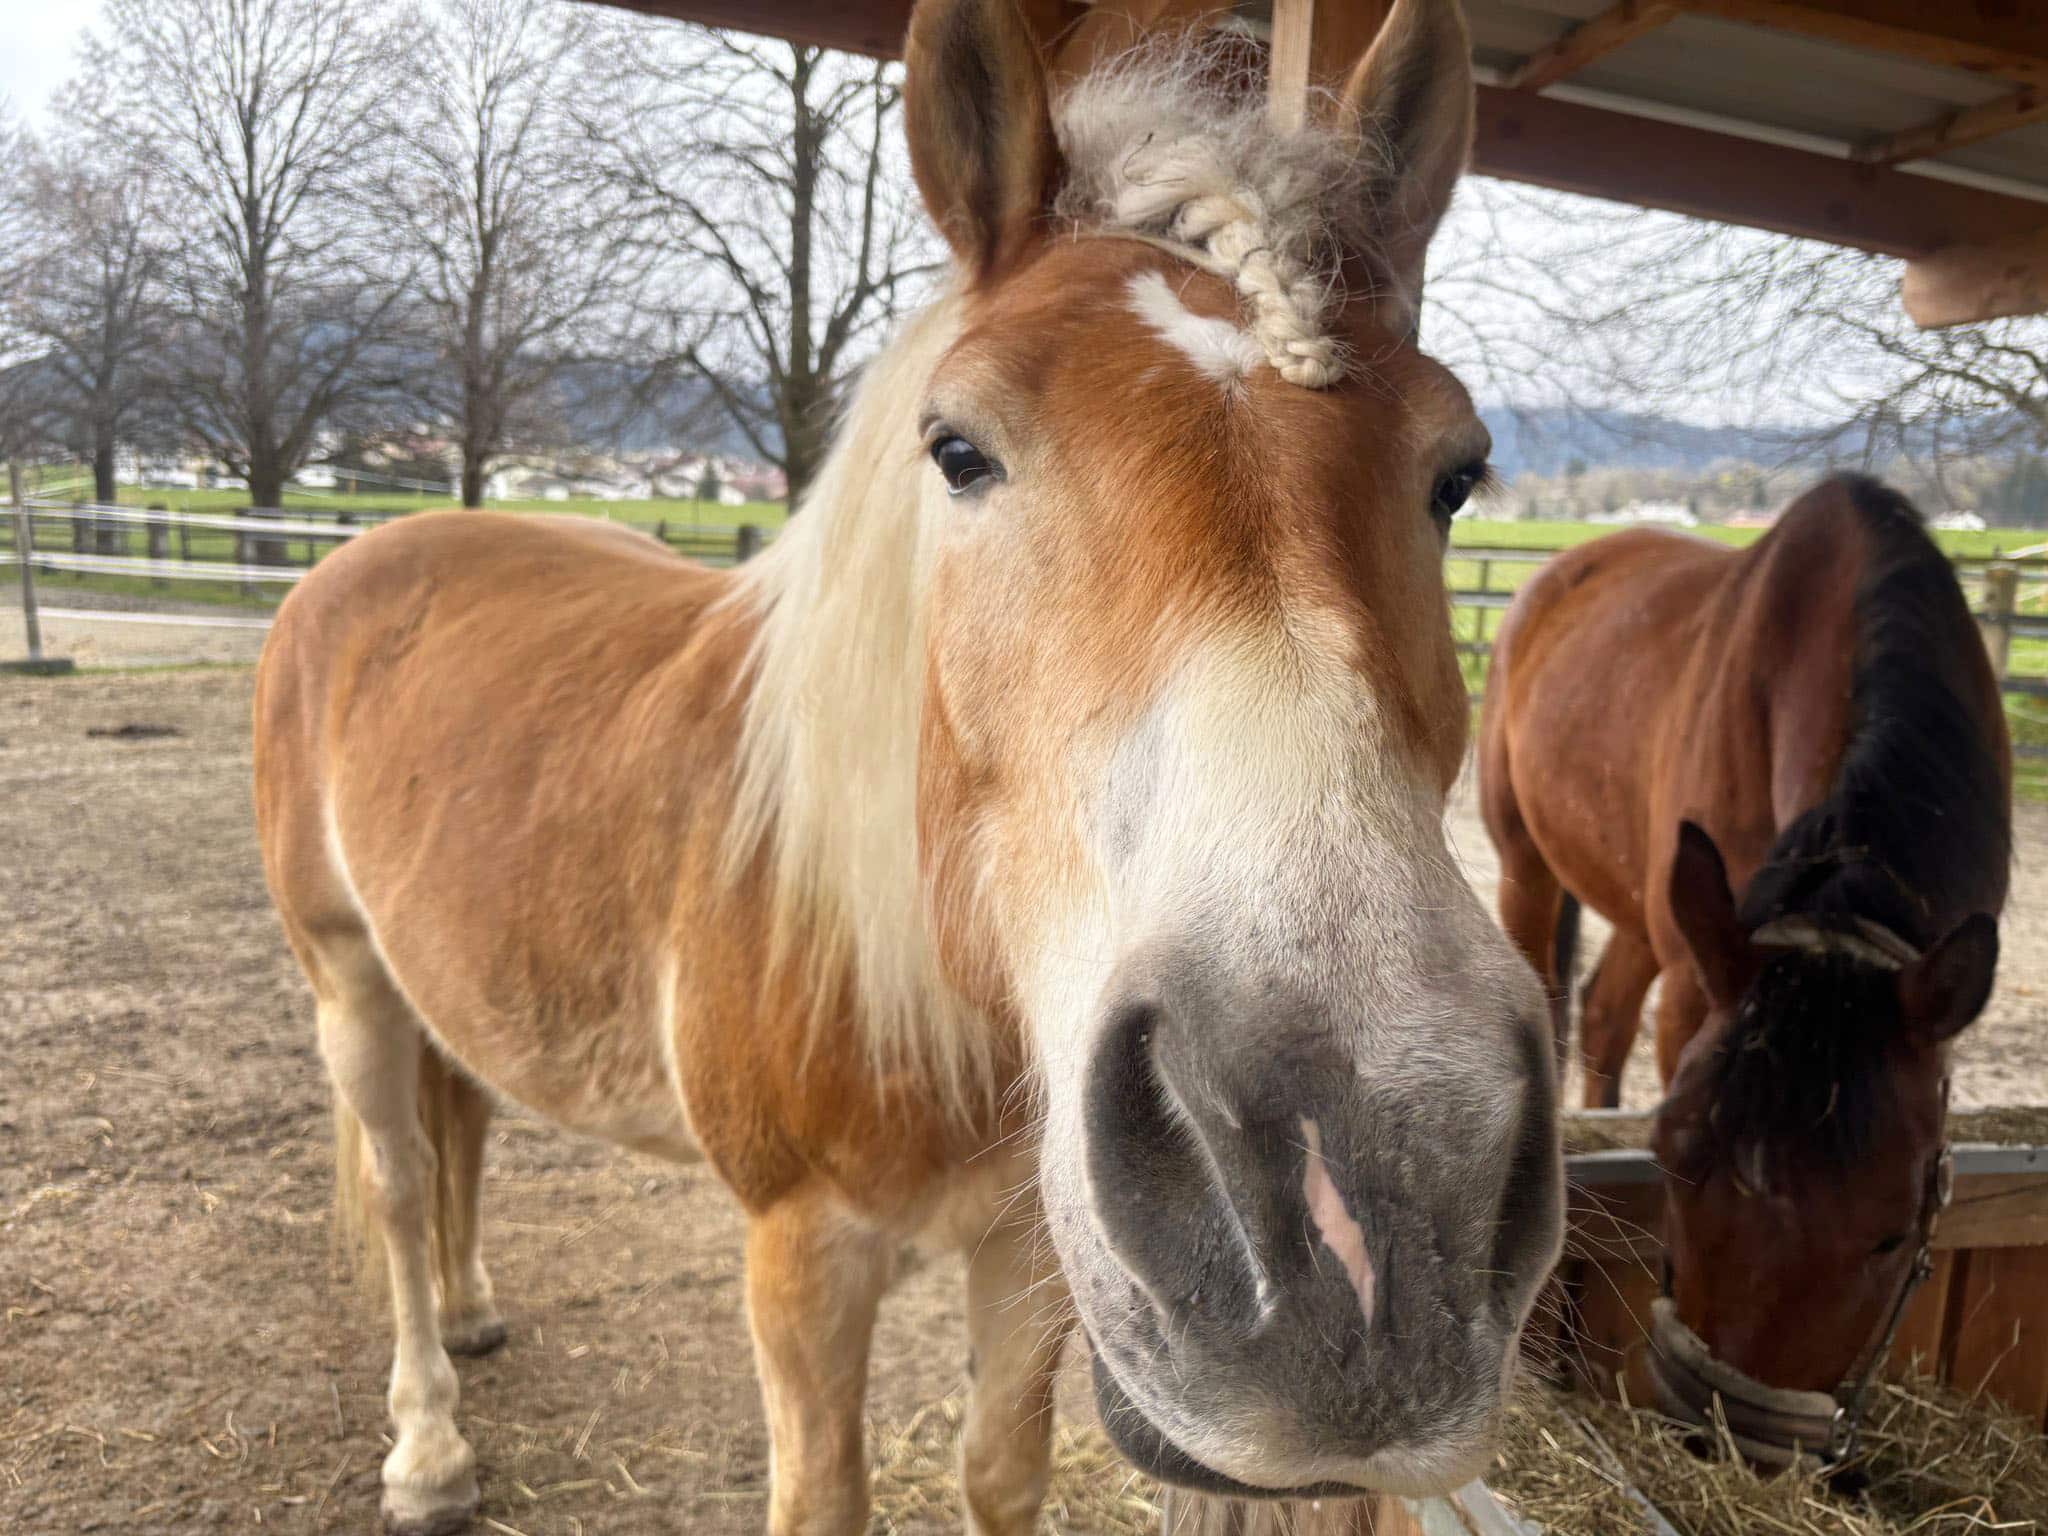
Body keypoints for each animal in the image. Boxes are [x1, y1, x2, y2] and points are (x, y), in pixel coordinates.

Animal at [253, 1, 1564, 1530]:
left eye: (1456, 472)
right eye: (957, 449)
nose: (1367, 1205)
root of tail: (372, 554)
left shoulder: (1025, 1255)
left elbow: (998, 1470)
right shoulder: (803, 1251)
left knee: (461, 1115)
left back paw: (468, 1317)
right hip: (344, 975)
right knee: (403, 1182)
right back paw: (427, 1442)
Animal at [1478, 473, 2009, 1462]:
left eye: (1893, 1236)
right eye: (1673, 1163)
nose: (1738, 1445)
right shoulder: (1705, 974)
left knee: (1606, 1011)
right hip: (1530, 861)